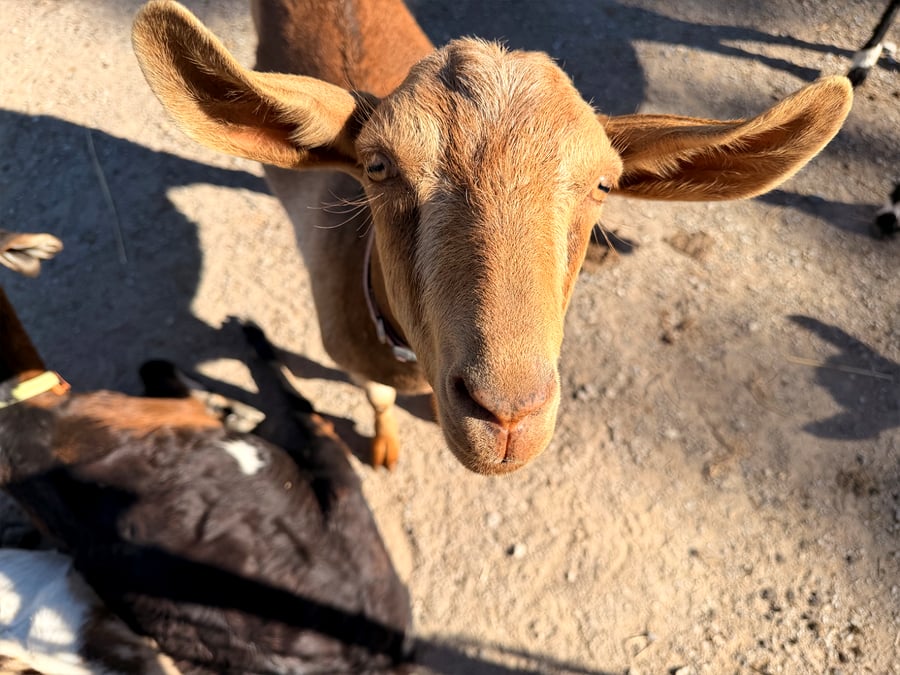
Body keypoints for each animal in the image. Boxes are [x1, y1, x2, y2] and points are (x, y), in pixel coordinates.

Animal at [132, 0, 853, 475]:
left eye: (603, 183)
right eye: (378, 166)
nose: (507, 417)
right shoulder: (345, 351)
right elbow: (376, 397)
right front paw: (385, 449)